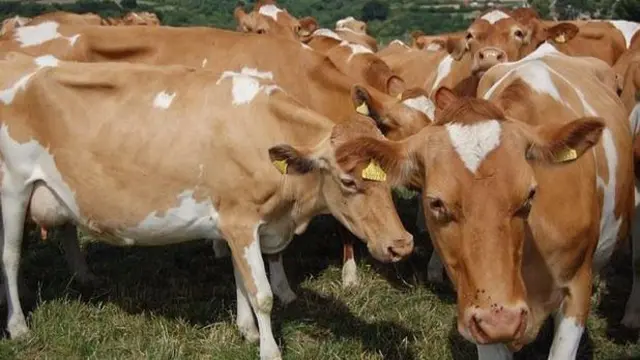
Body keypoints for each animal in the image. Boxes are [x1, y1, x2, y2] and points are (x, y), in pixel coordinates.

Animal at [0, 52, 416, 358]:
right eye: (348, 181)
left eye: (390, 180)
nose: (402, 244)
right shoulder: (240, 220)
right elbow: (262, 294)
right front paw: (269, 349)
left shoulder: (242, 223)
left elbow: (242, 279)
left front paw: (247, 331)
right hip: (12, 190)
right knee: (10, 256)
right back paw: (18, 326)